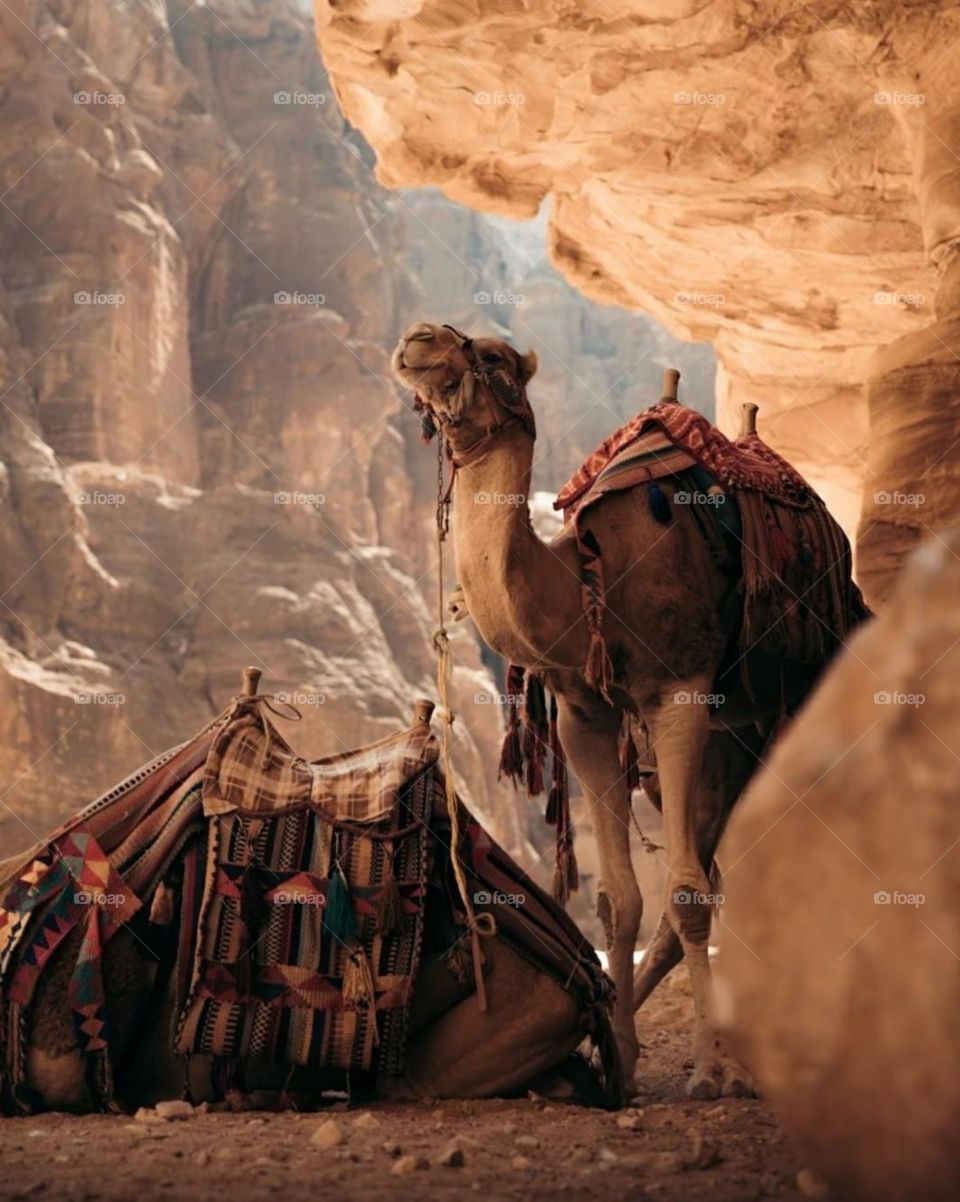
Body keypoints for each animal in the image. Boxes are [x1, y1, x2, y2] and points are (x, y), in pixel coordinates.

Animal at [391, 321, 827, 1098]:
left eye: (494, 355)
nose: (418, 337)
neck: (587, 582)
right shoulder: (584, 715)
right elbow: (618, 900)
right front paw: (618, 1057)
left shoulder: (680, 691)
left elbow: (683, 894)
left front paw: (707, 1070)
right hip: (722, 741)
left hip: (777, 703)